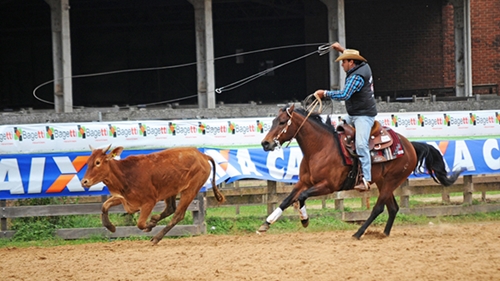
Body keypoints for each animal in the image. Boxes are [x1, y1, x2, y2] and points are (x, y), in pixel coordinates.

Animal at [81, 145, 226, 244]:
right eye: (88, 163)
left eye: (98, 162)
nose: (84, 182)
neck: (126, 174)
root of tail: (203, 155)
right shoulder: (126, 199)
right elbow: (105, 205)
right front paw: (110, 227)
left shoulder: (149, 202)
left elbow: (140, 223)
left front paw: (149, 226)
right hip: (171, 189)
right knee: (170, 208)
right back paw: (155, 219)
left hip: (190, 190)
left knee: (177, 215)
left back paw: (156, 237)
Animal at [260, 104, 462, 237]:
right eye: (273, 121)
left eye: (282, 122)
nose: (265, 143)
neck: (320, 148)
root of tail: (410, 145)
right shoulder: (304, 182)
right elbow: (286, 200)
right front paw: (266, 223)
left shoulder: (328, 186)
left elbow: (301, 197)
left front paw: (304, 220)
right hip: (383, 182)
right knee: (393, 208)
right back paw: (384, 234)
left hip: (392, 181)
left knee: (379, 208)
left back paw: (358, 233)